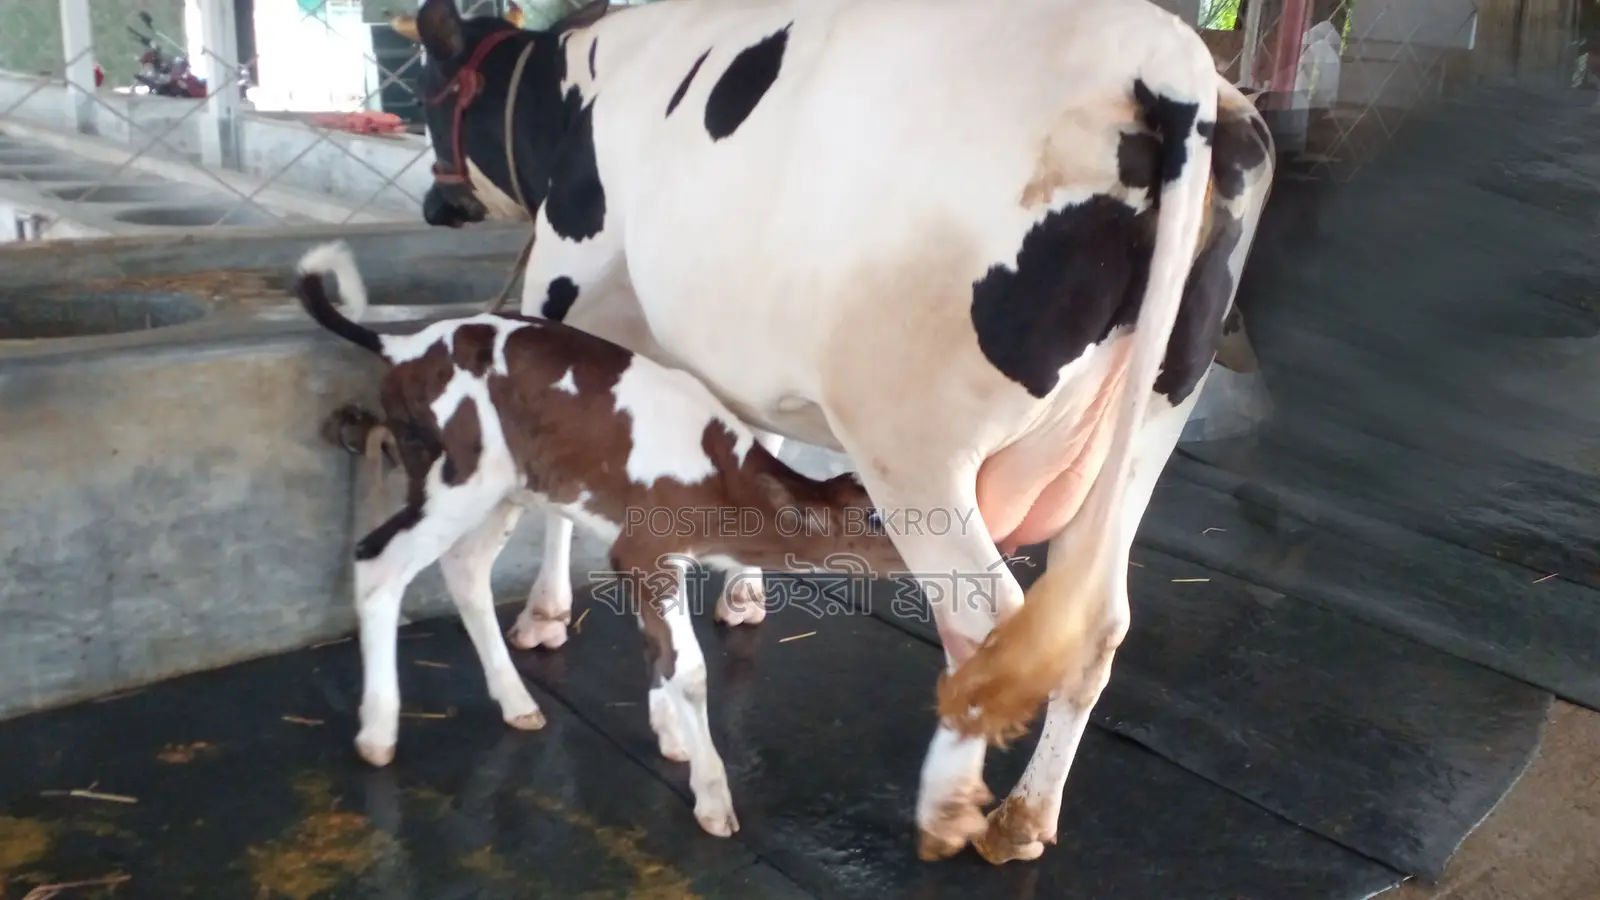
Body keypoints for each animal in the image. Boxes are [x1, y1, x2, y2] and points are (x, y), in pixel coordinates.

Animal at [389, 0, 1276, 865]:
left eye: (430, 92)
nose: (434, 205)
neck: (578, 87)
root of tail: (1168, 59)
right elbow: (755, 451)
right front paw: (742, 596)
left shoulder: (565, 295)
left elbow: (562, 493)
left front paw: (544, 615)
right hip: (1149, 427)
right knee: (1095, 628)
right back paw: (1024, 817)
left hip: (915, 448)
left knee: (987, 622)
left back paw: (948, 812)